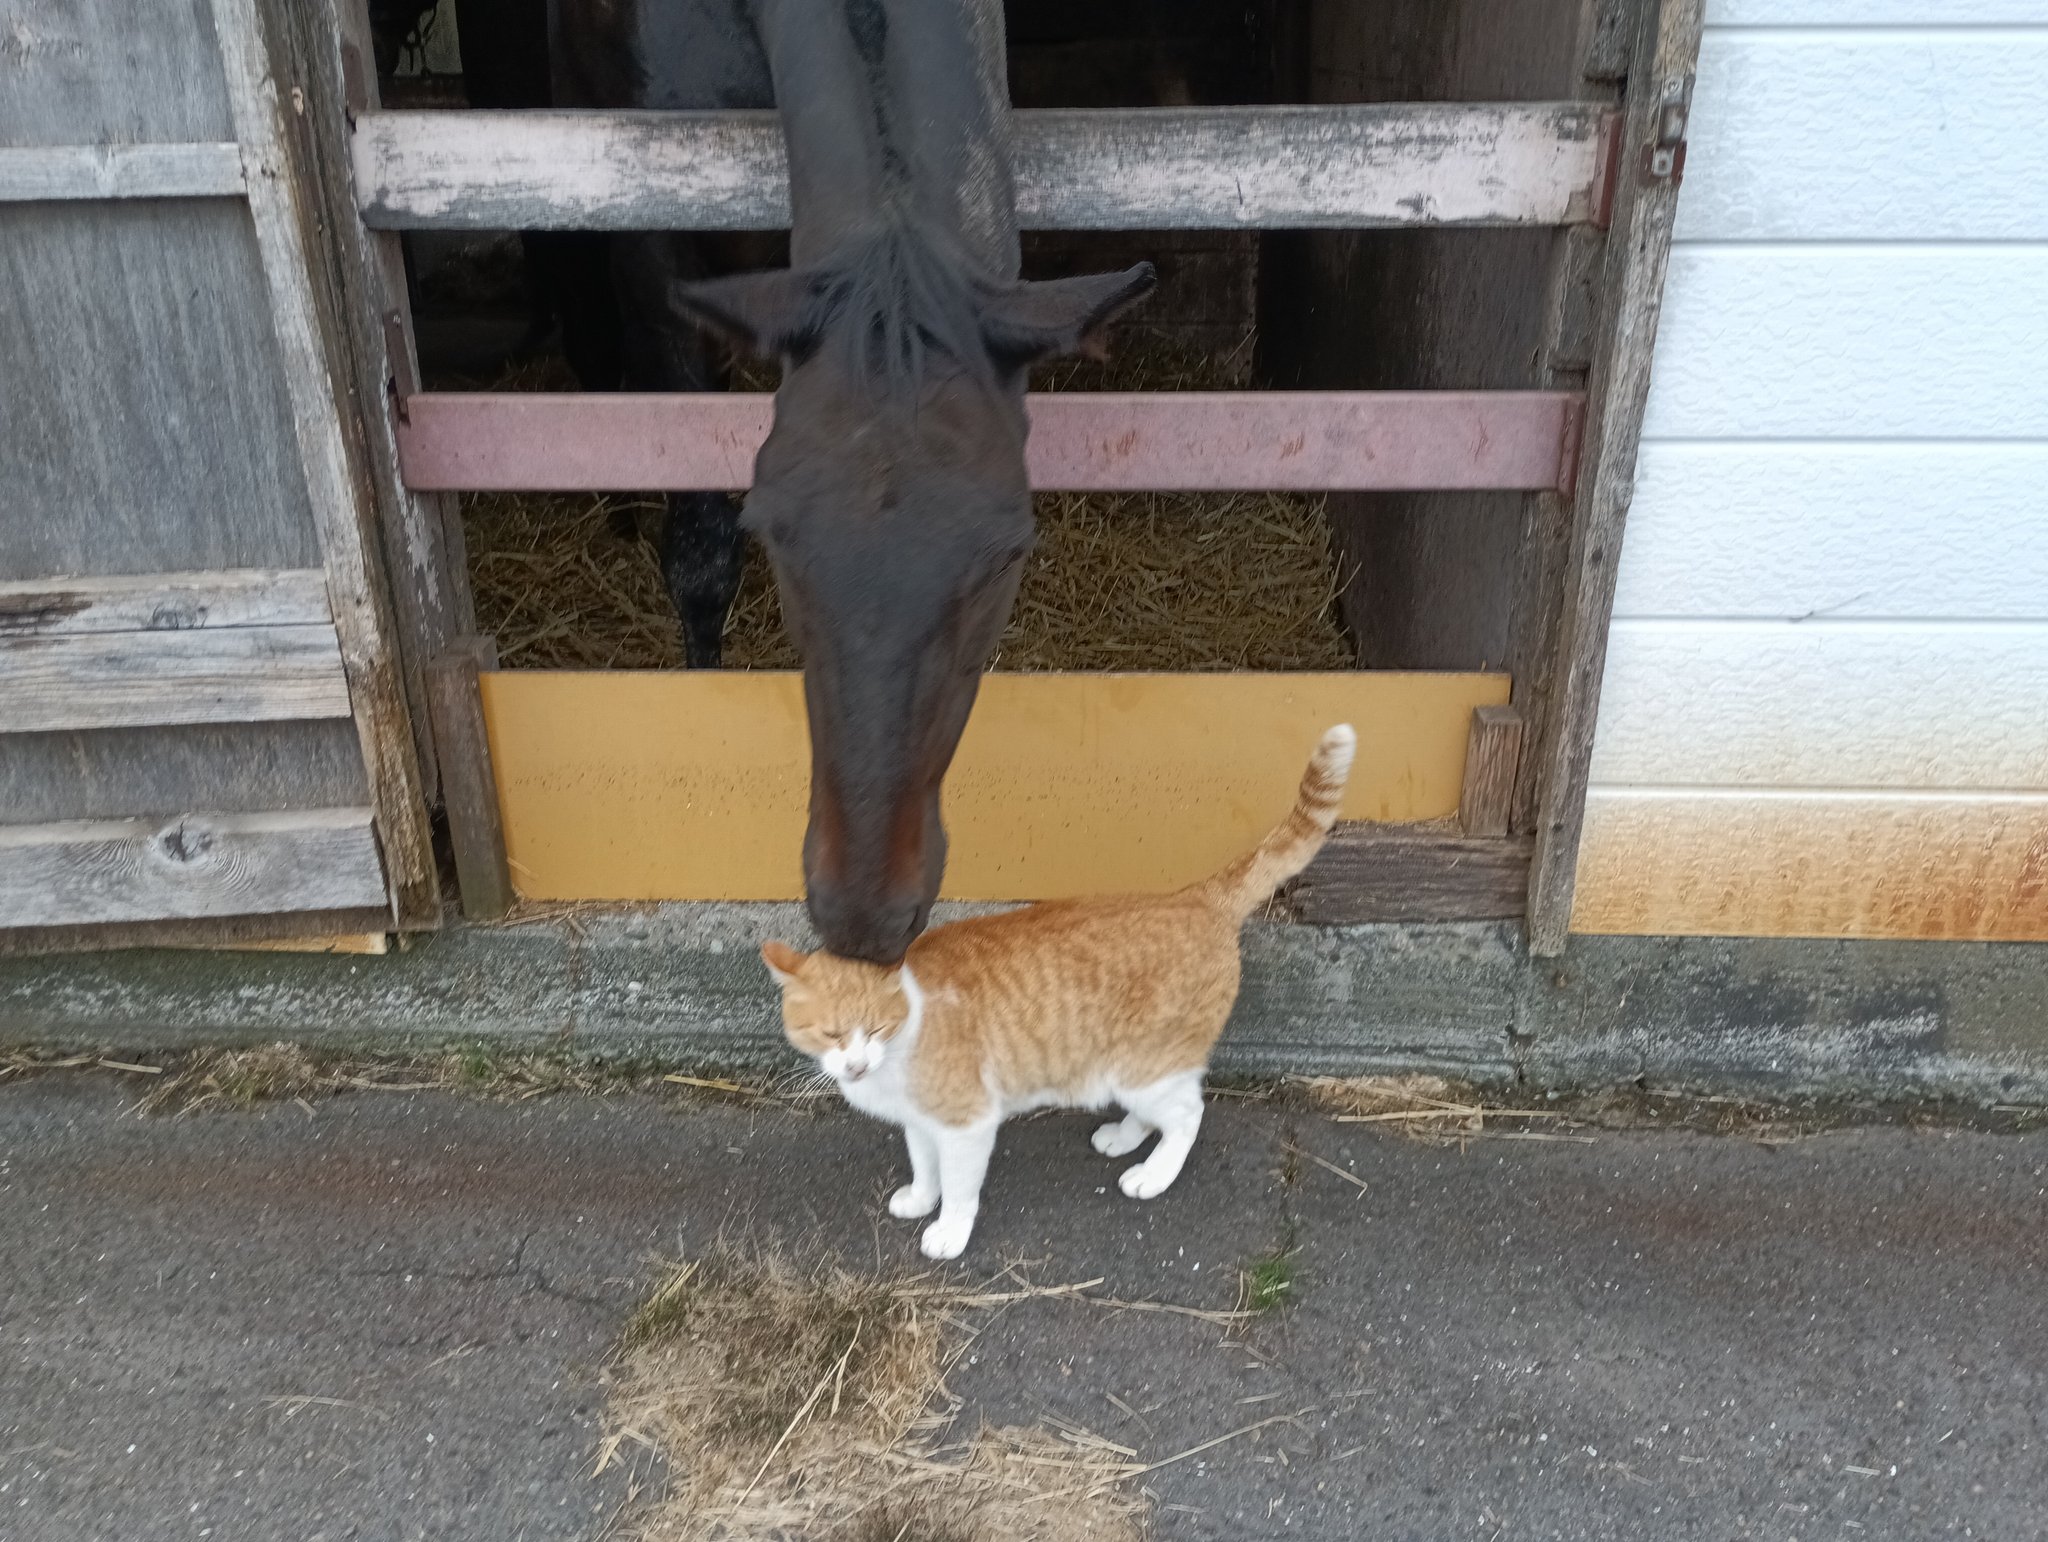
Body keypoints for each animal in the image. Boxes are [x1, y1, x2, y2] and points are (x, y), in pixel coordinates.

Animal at [761, 724, 1356, 1260]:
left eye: (877, 1028)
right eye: (830, 1034)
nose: (856, 1064)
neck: (904, 1037)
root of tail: (1194, 897)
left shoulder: (967, 1123)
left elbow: (958, 1188)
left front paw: (949, 1232)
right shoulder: (922, 1122)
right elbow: (925, 1166)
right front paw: (920, 1198)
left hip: (1145, 1067)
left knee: (1188, 1114)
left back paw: (1153, 1174)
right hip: (1136, 1071)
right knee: (1163, 1110)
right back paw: (1124, 1137)